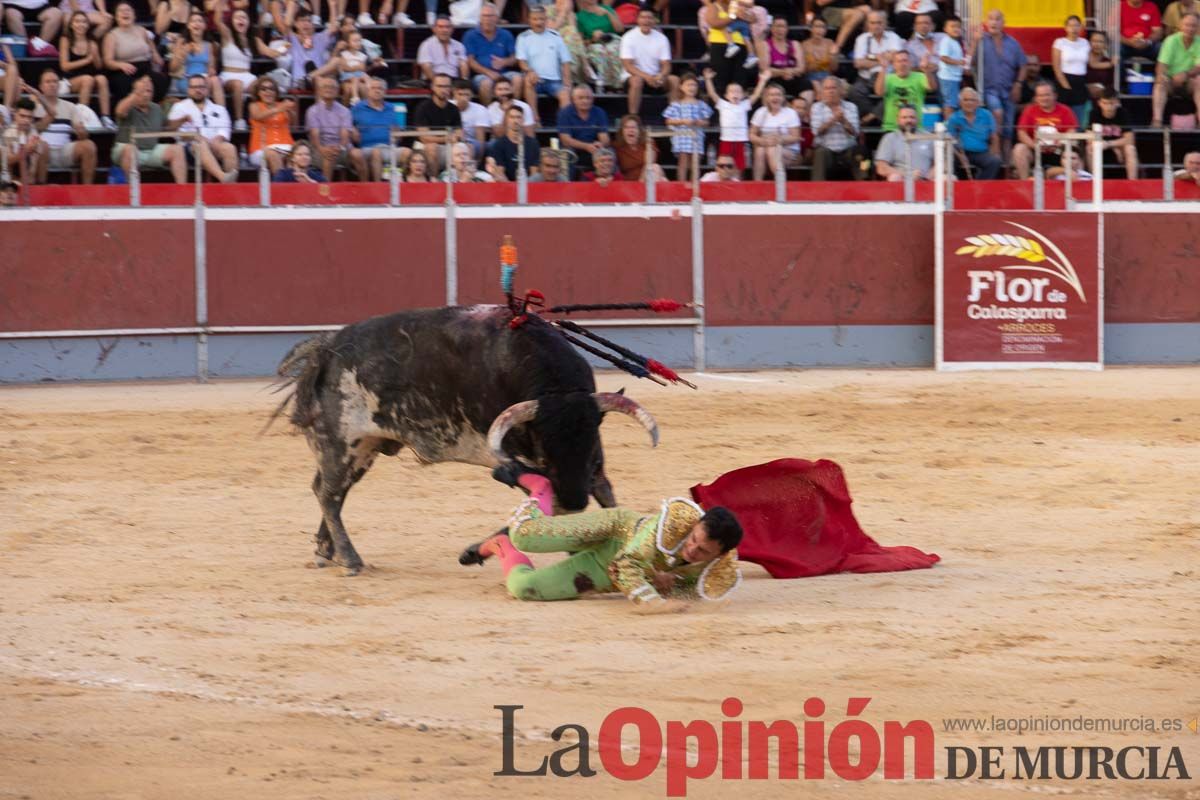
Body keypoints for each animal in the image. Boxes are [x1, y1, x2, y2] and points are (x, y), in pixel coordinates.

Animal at [274, 303, 657, 573]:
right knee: (328, 493)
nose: (576, 500)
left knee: (332, 493)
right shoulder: (522, 459)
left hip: (363, 448)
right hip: (342, 444)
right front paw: (473, 553)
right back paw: (350, 559)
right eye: (547, 453)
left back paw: (326, 553)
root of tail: (326, 349)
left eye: (589, 448)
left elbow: (605, 491)